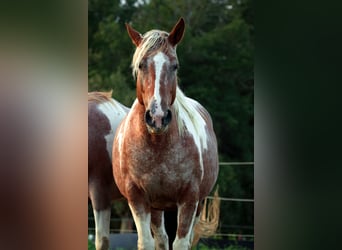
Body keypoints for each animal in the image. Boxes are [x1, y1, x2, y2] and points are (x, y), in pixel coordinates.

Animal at [112, 18, 219, 250]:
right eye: (141, 65)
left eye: (175, 65)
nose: (158, 117)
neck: (157, 144)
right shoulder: (138, 198)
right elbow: (147, 242)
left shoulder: (189, 199)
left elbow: (181, 243)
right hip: (156, 207)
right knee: (161, 239)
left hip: (196, 206)